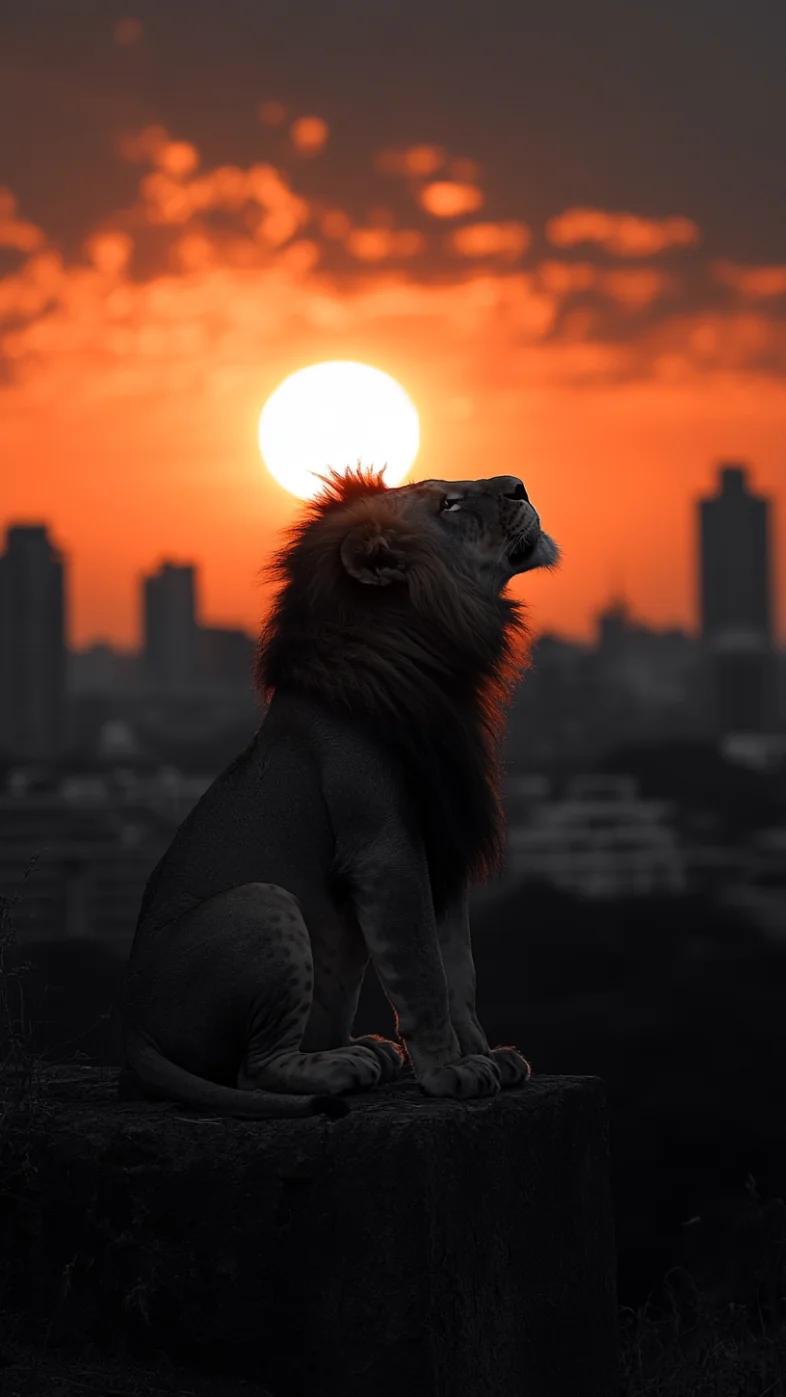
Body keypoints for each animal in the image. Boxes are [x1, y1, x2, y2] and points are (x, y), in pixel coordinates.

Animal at [119, 469, 558, 1118]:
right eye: (448, 505)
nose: (520, 484)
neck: (434, 659)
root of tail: (132, 1032)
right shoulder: (386, 851)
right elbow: (425, 972)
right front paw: (449, 1072)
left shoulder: (443, 845)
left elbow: (460, 967)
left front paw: (485, 1056)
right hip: (263, 902)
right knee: (253, 1070)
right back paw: (344, 1066)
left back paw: (367, 1050)